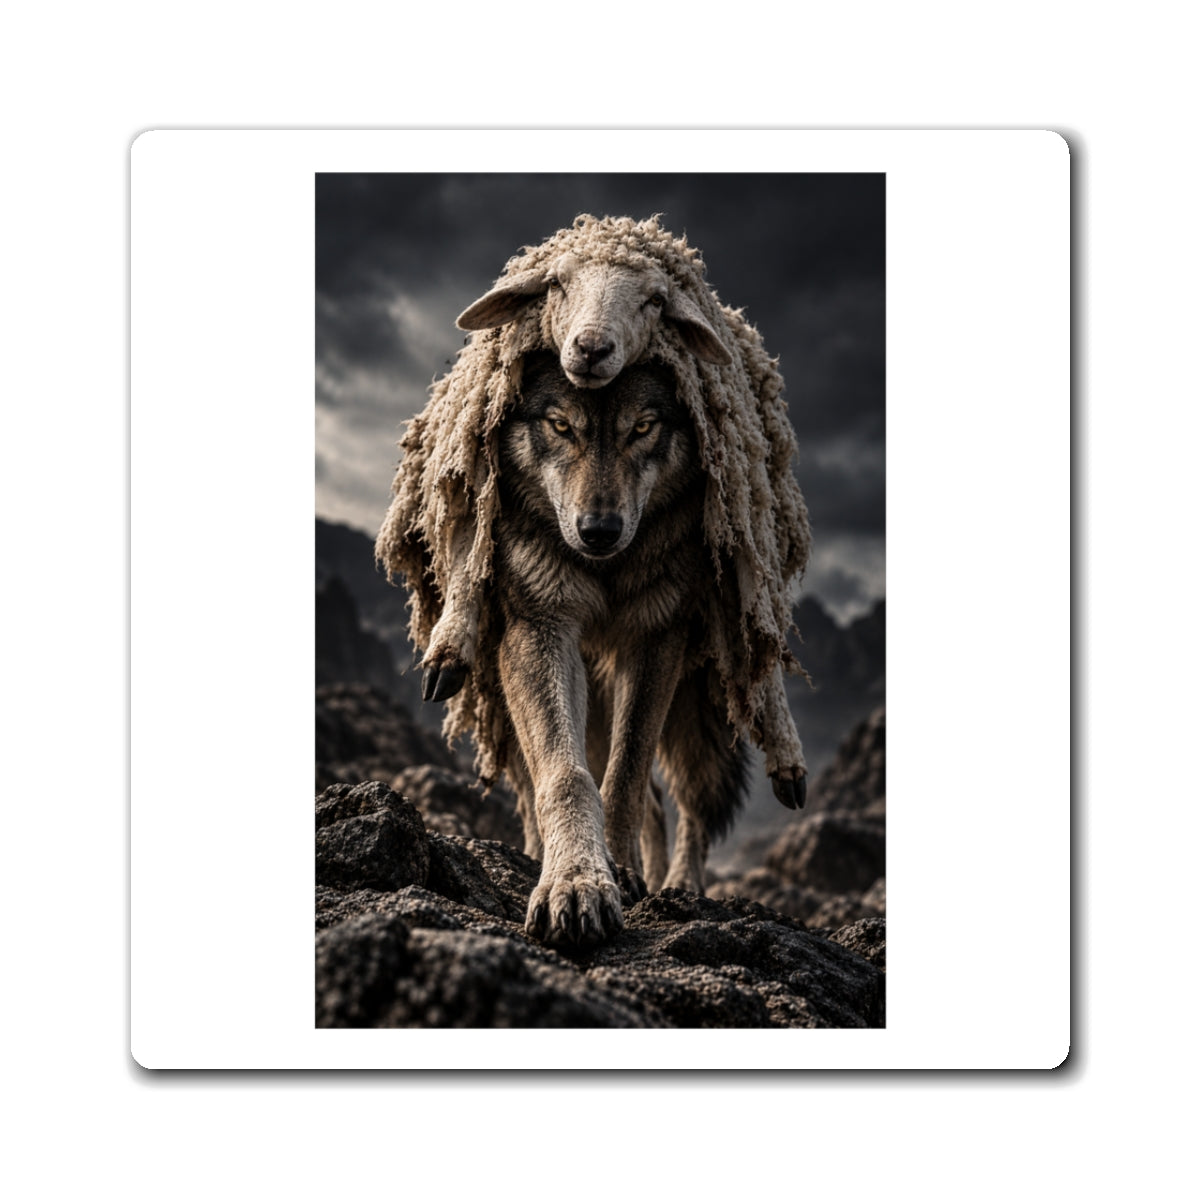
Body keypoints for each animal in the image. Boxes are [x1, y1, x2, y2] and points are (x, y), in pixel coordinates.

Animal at [442, 350, 766, 947]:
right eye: (561, 426)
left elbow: (625, 775)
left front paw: (613, 870)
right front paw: (572, 880)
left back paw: (677, 883)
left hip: (694, 697)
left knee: (690, 800)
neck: (606, 570)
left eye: (641, 428)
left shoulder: (655, 640)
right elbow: (568, 777)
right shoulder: (537, 630)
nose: (598, 531)